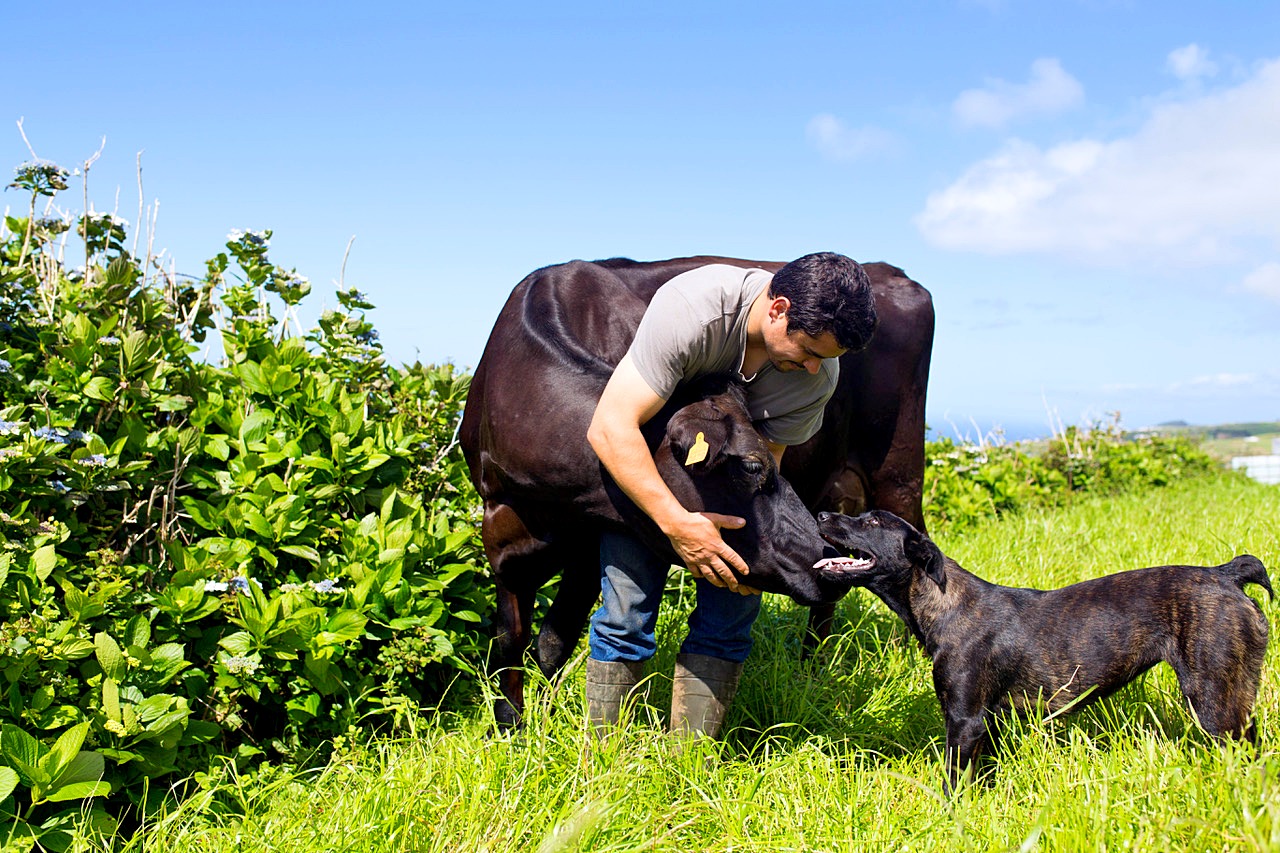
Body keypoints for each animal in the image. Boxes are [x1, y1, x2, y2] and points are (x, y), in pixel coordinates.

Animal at [819, 507, 1269, 788]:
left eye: (871, 520)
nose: (821, 514)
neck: (943, 601)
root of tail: (1227, 575)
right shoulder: (988, 723)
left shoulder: (964, 720)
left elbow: (954, 782)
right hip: (1235, 694)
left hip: (1212, 698)